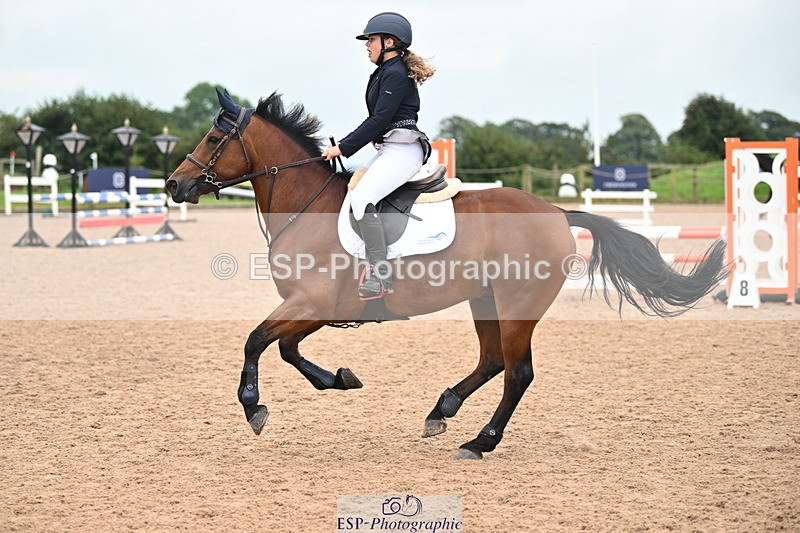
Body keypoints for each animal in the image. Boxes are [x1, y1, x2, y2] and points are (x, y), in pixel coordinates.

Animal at [166, 90, 727, 459]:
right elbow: (283, 347)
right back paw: (443, 410)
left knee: (517, 372)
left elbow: (257, 341)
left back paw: (480, 442)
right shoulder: (312, 311)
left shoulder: (312, 305)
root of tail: (555, 211)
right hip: (486, 300)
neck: (307, 206)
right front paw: (340, 379)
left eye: (214, 137)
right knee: (493, 362)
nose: (174, 184)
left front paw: (253, 408)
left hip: (516, 306)